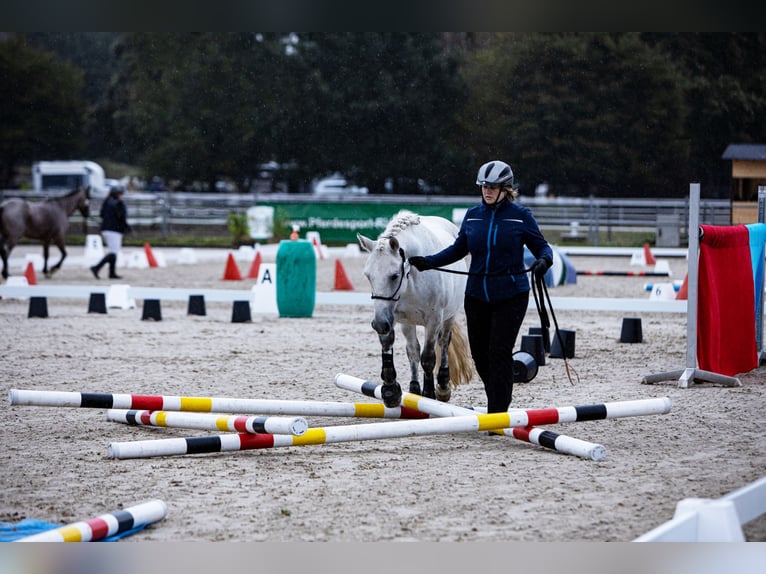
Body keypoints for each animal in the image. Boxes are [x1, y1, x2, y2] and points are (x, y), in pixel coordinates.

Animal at [357, 210, 475, 408]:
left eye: (394, 275)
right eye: (367, 276)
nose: (378, 324)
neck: (412, 277)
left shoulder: (434, 320)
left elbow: (428, 357)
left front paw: (429, 394)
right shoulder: (393, 316)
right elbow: (393, 345)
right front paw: (391, 390)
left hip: (448, 317)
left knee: (443, 342)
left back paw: (442, 386)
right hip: (408, 322)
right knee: (413, 350)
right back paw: (413, 389)